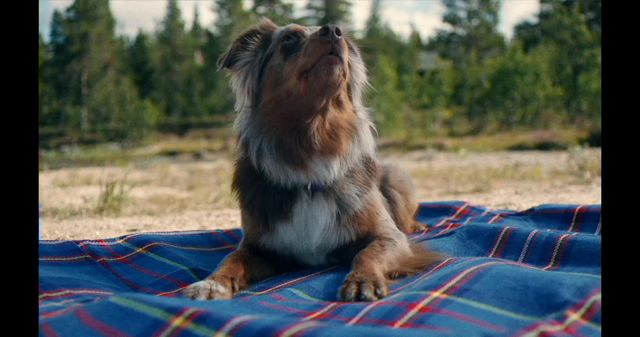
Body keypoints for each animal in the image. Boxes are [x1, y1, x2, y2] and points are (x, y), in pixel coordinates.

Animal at [182, 18, 442, 300]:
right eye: (288, 39)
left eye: (344, 38)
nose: (334, 31)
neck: (314, 136)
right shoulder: (261, 249)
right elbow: (231, 259)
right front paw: (211, 283)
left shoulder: (389, 237)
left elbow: (367, 253)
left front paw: (363, 280)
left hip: (396, 176)